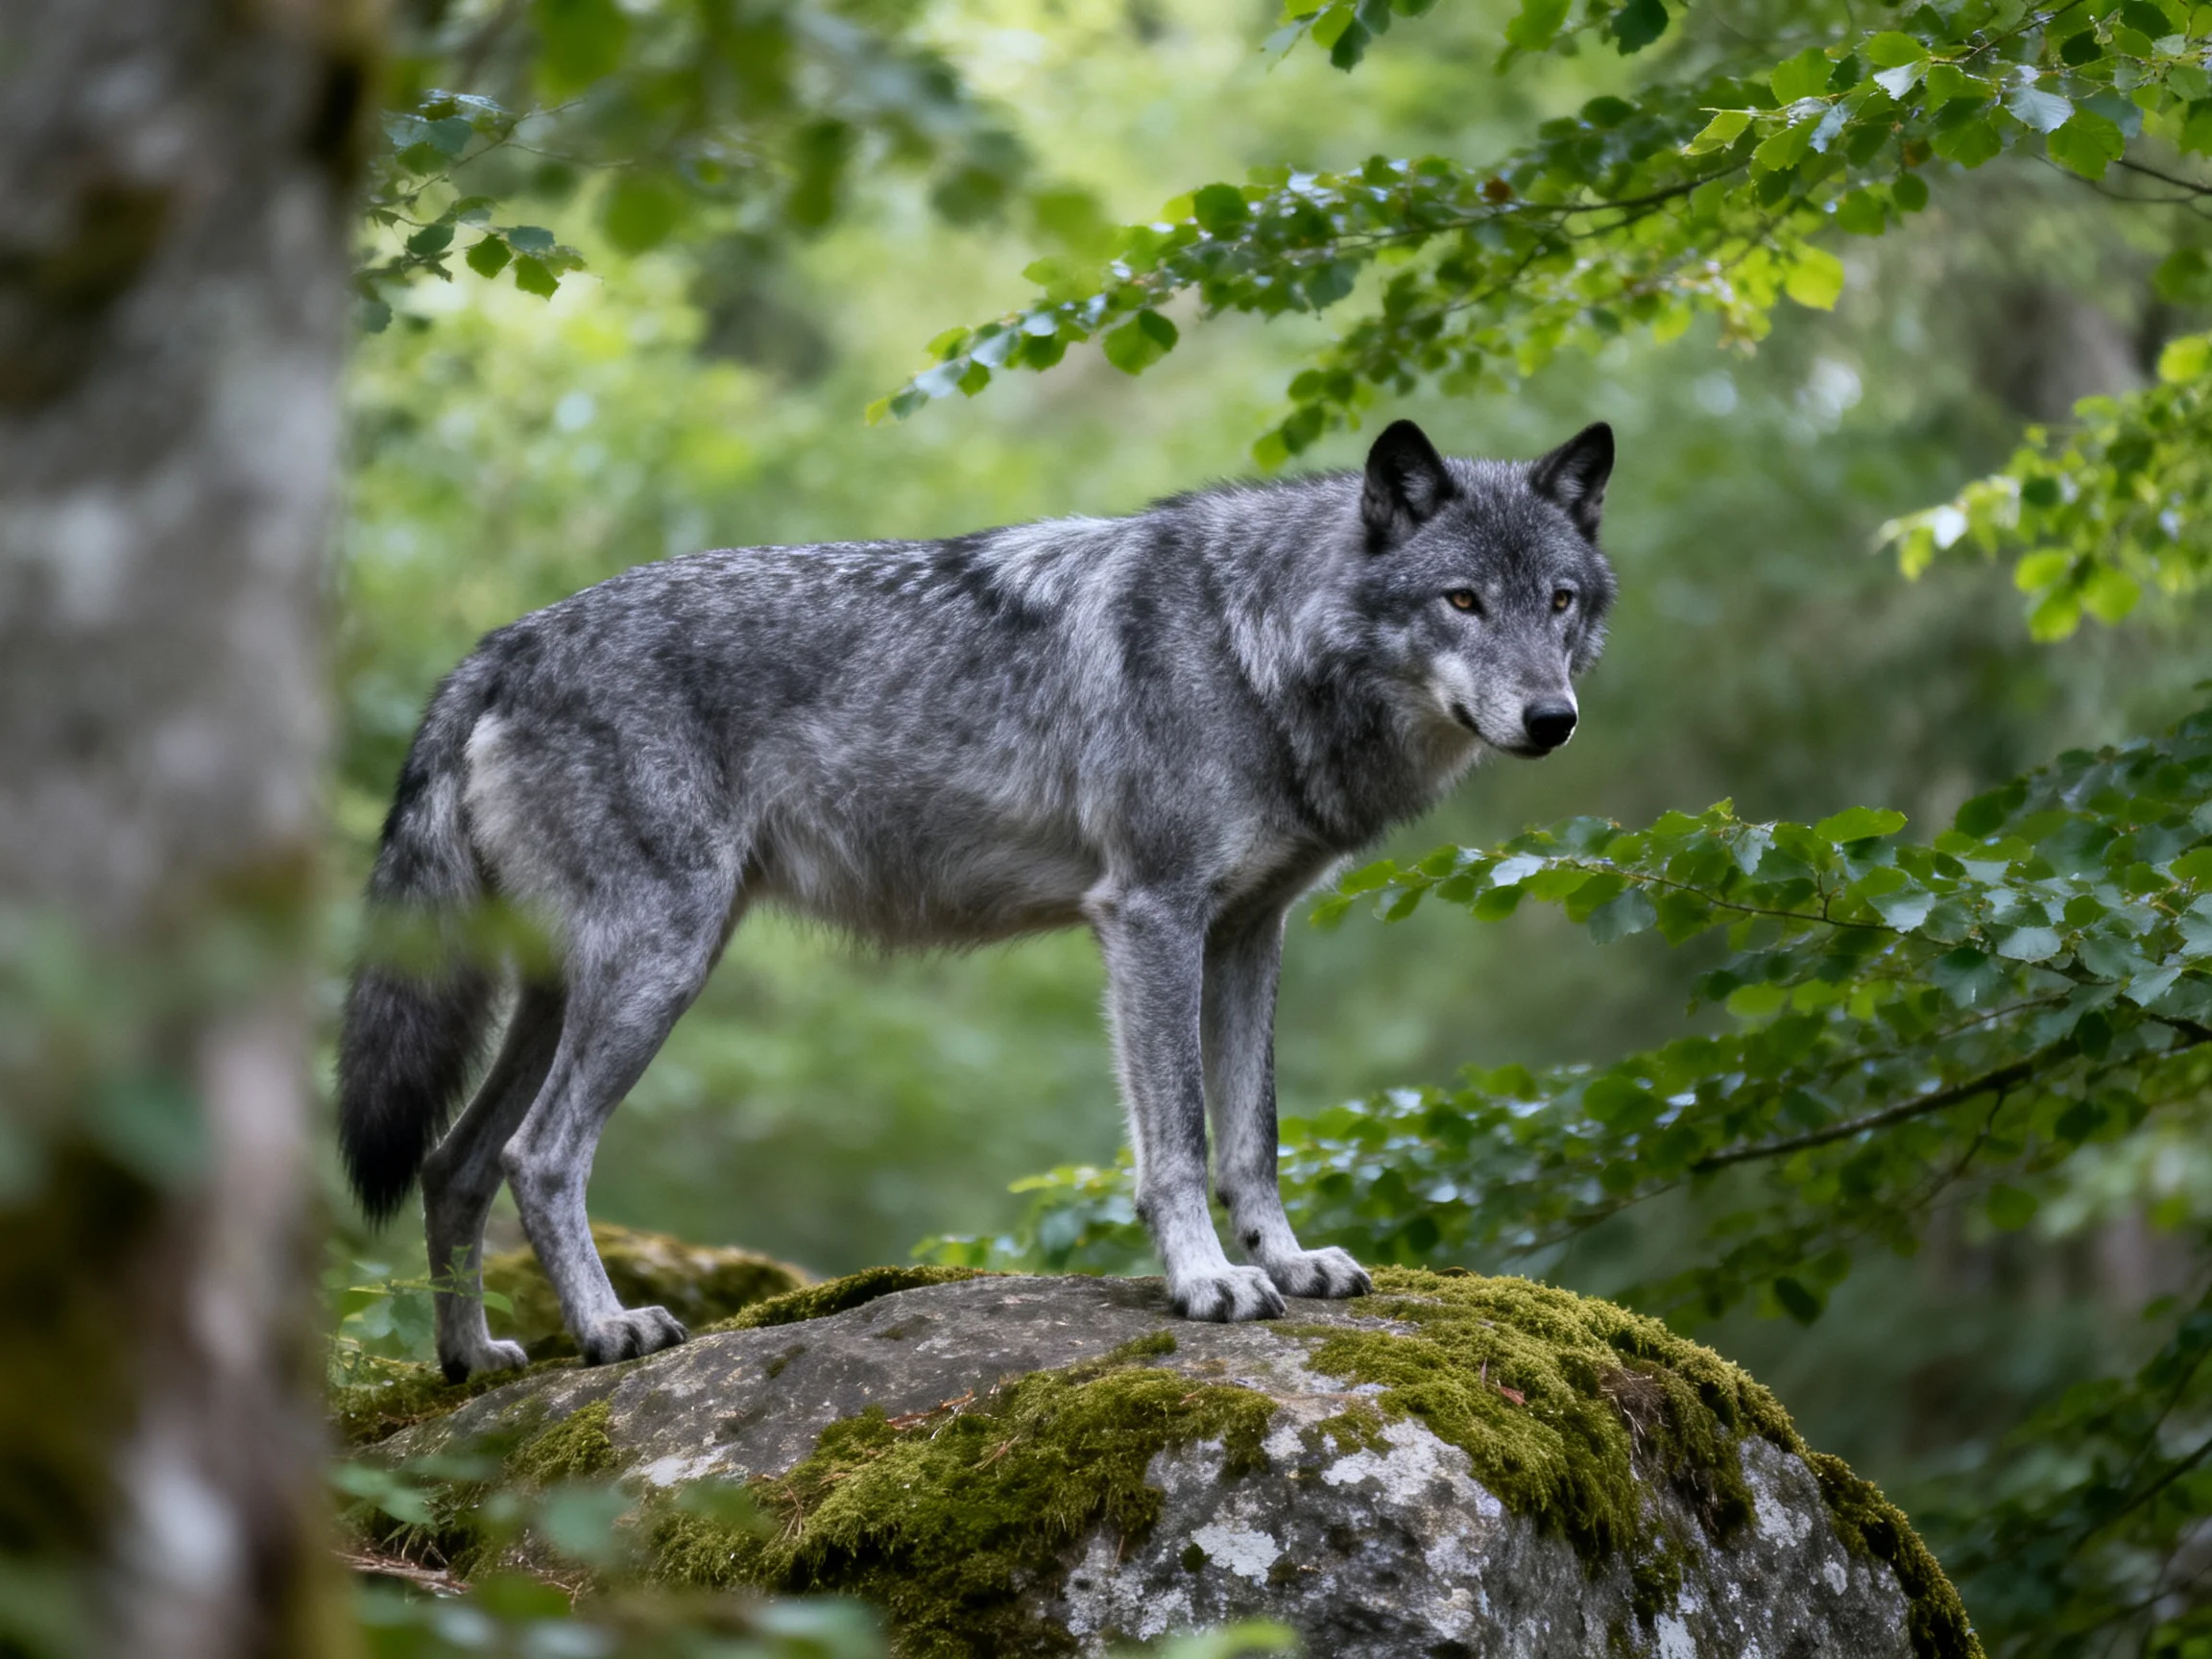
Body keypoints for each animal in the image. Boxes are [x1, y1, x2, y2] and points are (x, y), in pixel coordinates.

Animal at [337, 417, 1617, 1380]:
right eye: (1462, 601)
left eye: (1557, 601)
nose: (1554, 720)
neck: (1256, 647)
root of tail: (502, 643)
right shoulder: (1151, 918)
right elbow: (1180, 1141)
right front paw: (1208, 1282)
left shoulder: (1252, 933)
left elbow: (1253, 1136)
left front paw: (1289, 1263)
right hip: (659, 964)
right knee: (538, 1155)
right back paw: (608, 1330)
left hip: (572, 988)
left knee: (453, 1164)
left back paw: (473, 1361)